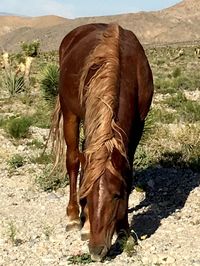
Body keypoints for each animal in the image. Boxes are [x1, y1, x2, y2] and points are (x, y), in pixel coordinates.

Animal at [50, 22, 154, 260]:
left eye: (116, 196)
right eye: (88, 197)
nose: (97, 251)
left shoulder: (138, 126)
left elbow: (127, 173)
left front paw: (124, 230)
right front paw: (86, 222)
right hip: (70, 113)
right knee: (73, 160)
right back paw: (73, 216)